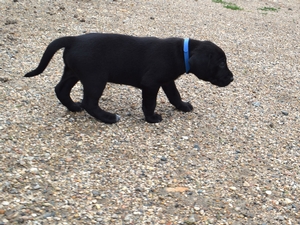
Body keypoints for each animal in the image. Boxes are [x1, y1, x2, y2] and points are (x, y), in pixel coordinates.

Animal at [24, 33, 233, 124]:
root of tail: (73, 39)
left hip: (72, 72)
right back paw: (108, 118)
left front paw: (183, 106)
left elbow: (175, 95)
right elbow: (150, 103)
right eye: (222, 63)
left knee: (61, 90)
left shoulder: (166, 81)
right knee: (90, 103)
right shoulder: (151, 83)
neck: (182, 53)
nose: (231, 78)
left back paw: (73, 107)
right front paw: (151, 118)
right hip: (95, 78)